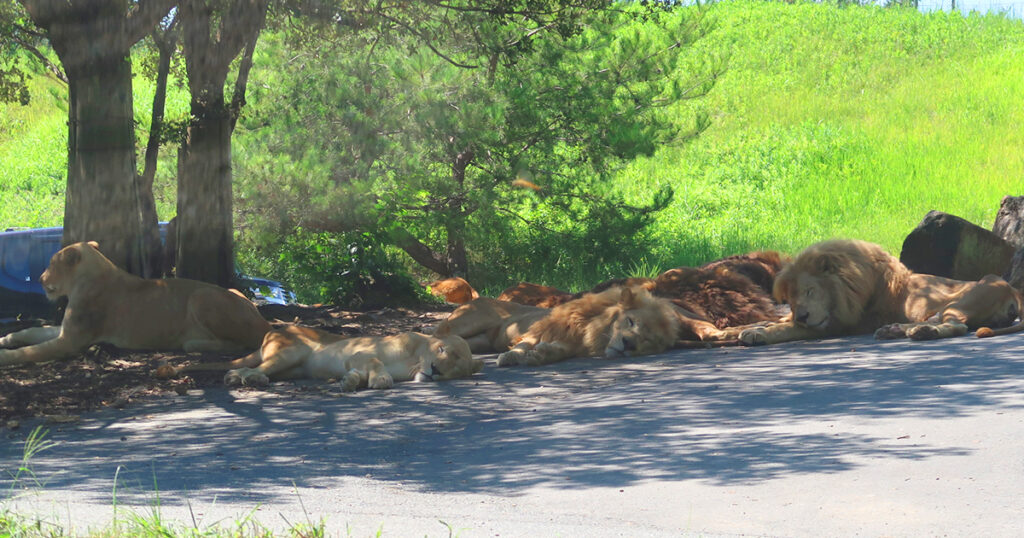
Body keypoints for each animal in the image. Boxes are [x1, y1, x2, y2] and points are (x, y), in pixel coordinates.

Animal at [0, 240, 270, 366]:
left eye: (52, 264)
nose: (39, 278)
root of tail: (264, 322)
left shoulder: (71, 341)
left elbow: (28, 352)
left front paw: (4, 355)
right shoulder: (67, 331)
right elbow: (32, 331)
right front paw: (6, 338)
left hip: (201, 296)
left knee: (241, 343)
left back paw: (192, 343)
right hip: (231, 291)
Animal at [733, 237, 1019, 346]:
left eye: (810, 291)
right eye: (791, 300)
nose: (802, 315)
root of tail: (1014, 294)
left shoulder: (840, 325)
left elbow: (785, 329)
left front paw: (757, 334)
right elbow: (774, 320)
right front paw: (746, 328)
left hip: (964, 299)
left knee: (957, 326)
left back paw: (921, 333)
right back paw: (894, 330)